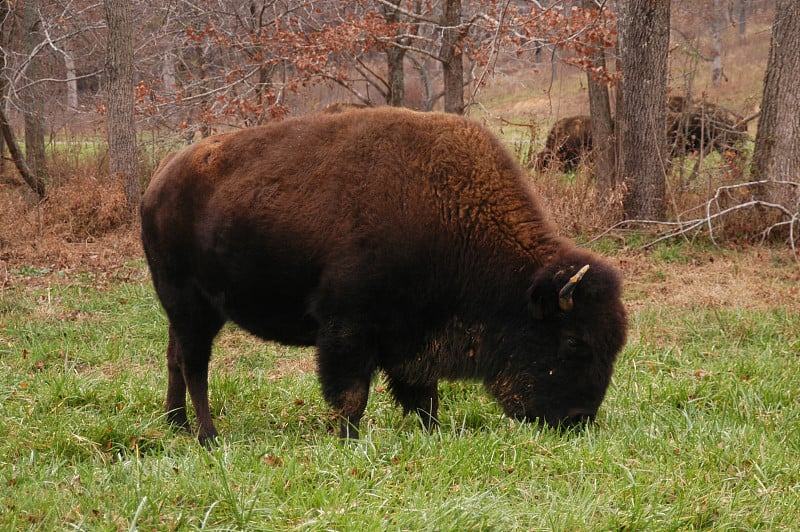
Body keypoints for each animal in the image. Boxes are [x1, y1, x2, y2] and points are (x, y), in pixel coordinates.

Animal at [144, 106, 632, 442]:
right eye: (574, 341)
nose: (578, 419)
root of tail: (160, 179)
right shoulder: (348, 329)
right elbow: (352, 395)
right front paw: (347, 438)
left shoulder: (412, 339)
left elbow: (424, 395)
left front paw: (432, 432)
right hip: (191, 307)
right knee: (195, 365)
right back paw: (207, 436)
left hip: (183, 312)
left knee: (173, 357)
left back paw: (176, 424)